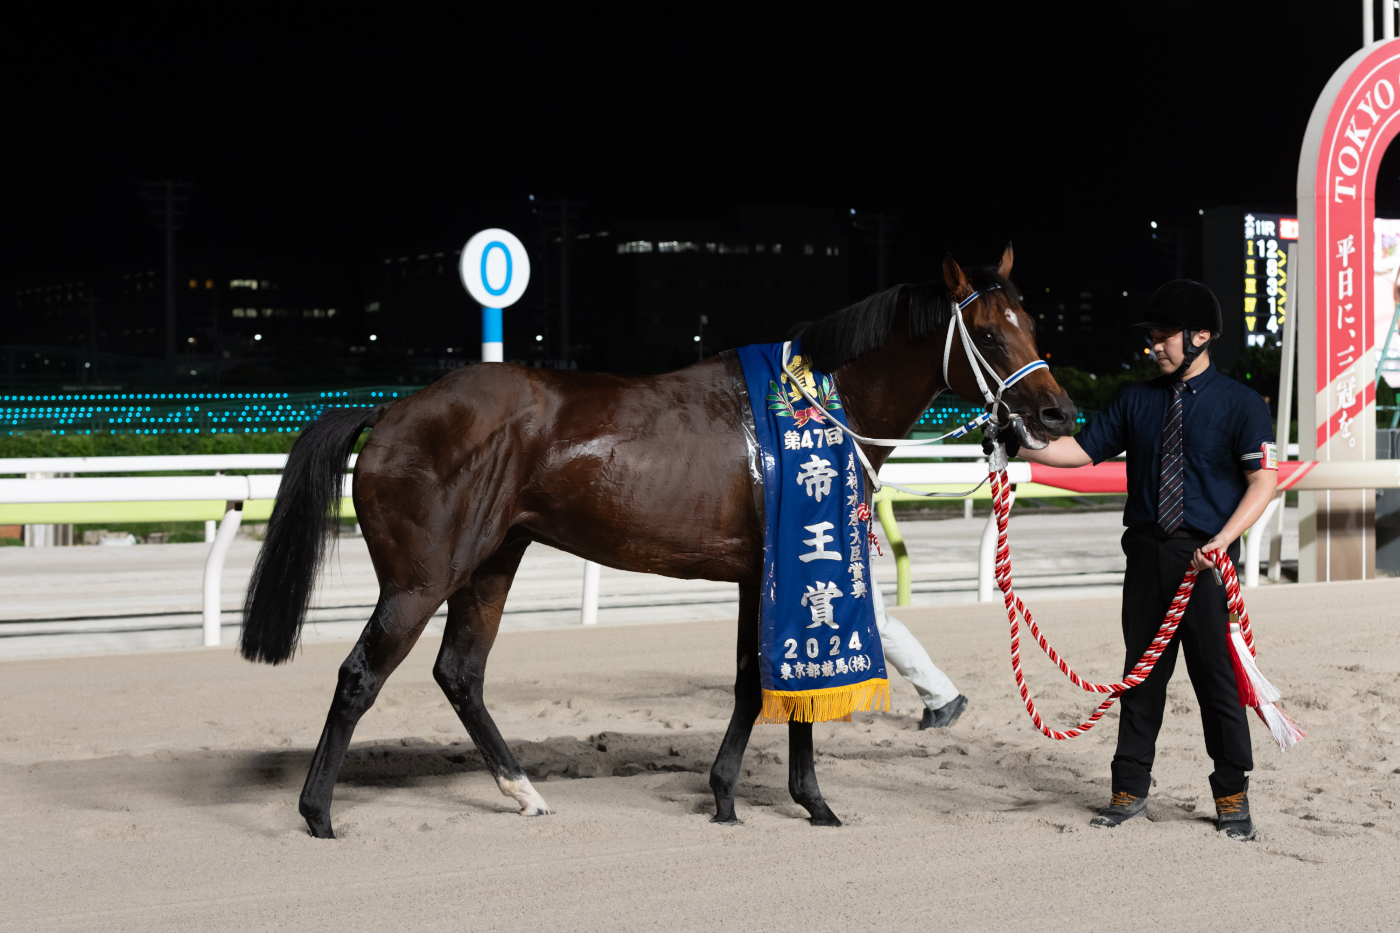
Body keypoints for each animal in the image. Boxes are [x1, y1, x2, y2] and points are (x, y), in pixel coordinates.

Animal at [240, 246, 1075, 834]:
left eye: (1034, 324)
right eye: (990, 333)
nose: (1057, 413)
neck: (819, 406)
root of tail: (389, 411)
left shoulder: (761, 573)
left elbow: (757, 682)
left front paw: (757, 796)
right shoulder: (788, 561)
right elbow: (771, 683)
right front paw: (793, 798)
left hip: (492, 561)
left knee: (460, 673)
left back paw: (523, 790)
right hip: (422, 576)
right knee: (360, 674)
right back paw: (318, 813)